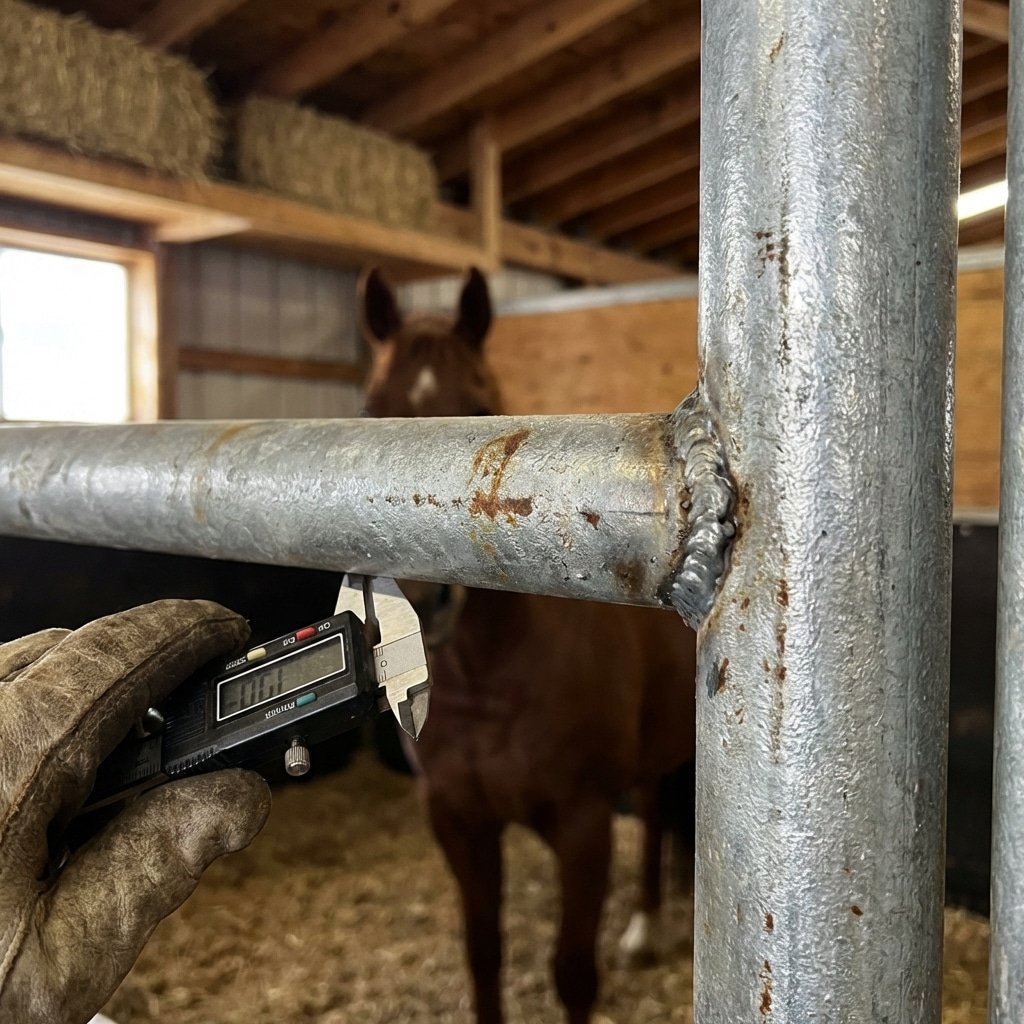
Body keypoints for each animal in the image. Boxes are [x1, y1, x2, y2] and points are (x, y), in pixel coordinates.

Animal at [359, 266, 697, 1024]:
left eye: (480, 407)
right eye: (370, 412)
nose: (416, 596)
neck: (487, 681)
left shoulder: (582, 824)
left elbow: (571, 972)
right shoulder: (458, 820)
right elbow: (483, 955)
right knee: (656, 809)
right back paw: (650, 924)